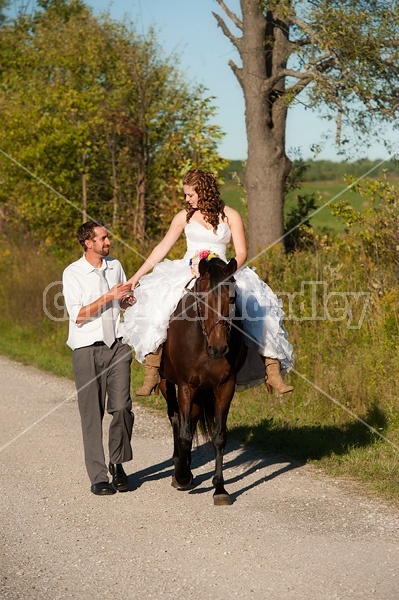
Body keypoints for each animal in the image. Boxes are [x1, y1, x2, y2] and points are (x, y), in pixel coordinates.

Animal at [159, 255, 247, 504]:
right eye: (202, 298)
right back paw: (179, 467)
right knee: (176, 418)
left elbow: (219, 436)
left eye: (232, 297)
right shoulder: (185, 386)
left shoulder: (225, 386)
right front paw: (181, 477)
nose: (219, 348)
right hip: (166, 382)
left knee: (192, 417)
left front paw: (220, 488)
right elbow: (184, 434)